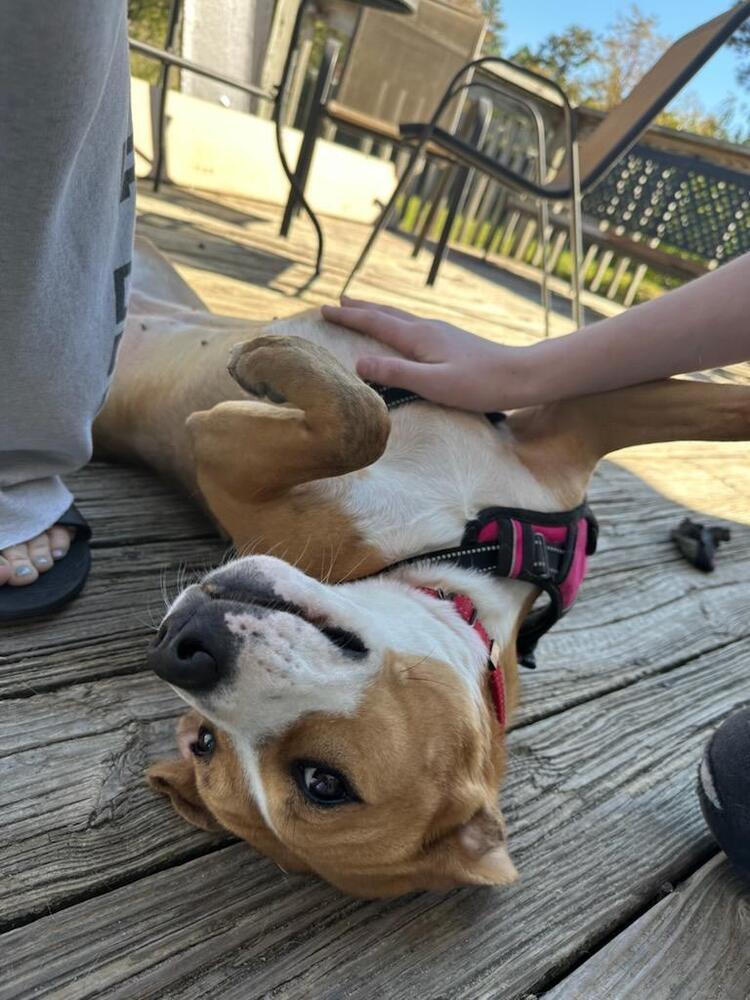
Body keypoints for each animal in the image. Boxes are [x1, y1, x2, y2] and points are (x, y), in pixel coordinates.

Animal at [94, 236, 750, 900]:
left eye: (321, 782)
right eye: (207, 741)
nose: (179, 651)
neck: (467, 572)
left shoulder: (564, 427)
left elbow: (726, 409)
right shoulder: (220, 450)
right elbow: (365, 422)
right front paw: (273, 359)